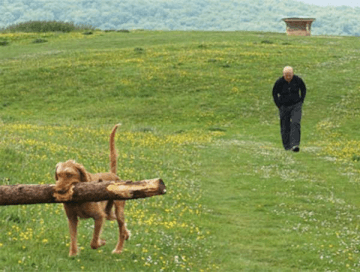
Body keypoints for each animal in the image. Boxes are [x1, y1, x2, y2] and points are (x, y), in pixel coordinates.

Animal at [54, 124, 130, 256]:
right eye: (58, 175)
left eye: (69, 174)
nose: (57, 190)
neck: (78, 200)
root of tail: (113, 175)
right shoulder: (72, 218)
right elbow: (73, 238)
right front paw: (73, 254)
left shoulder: (99, 216)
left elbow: (94, 242)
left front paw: (101, 242)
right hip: (108, 213)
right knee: (121, 224)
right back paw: (127, 234)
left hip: (118, 209)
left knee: (121, 227)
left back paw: (118, 249)